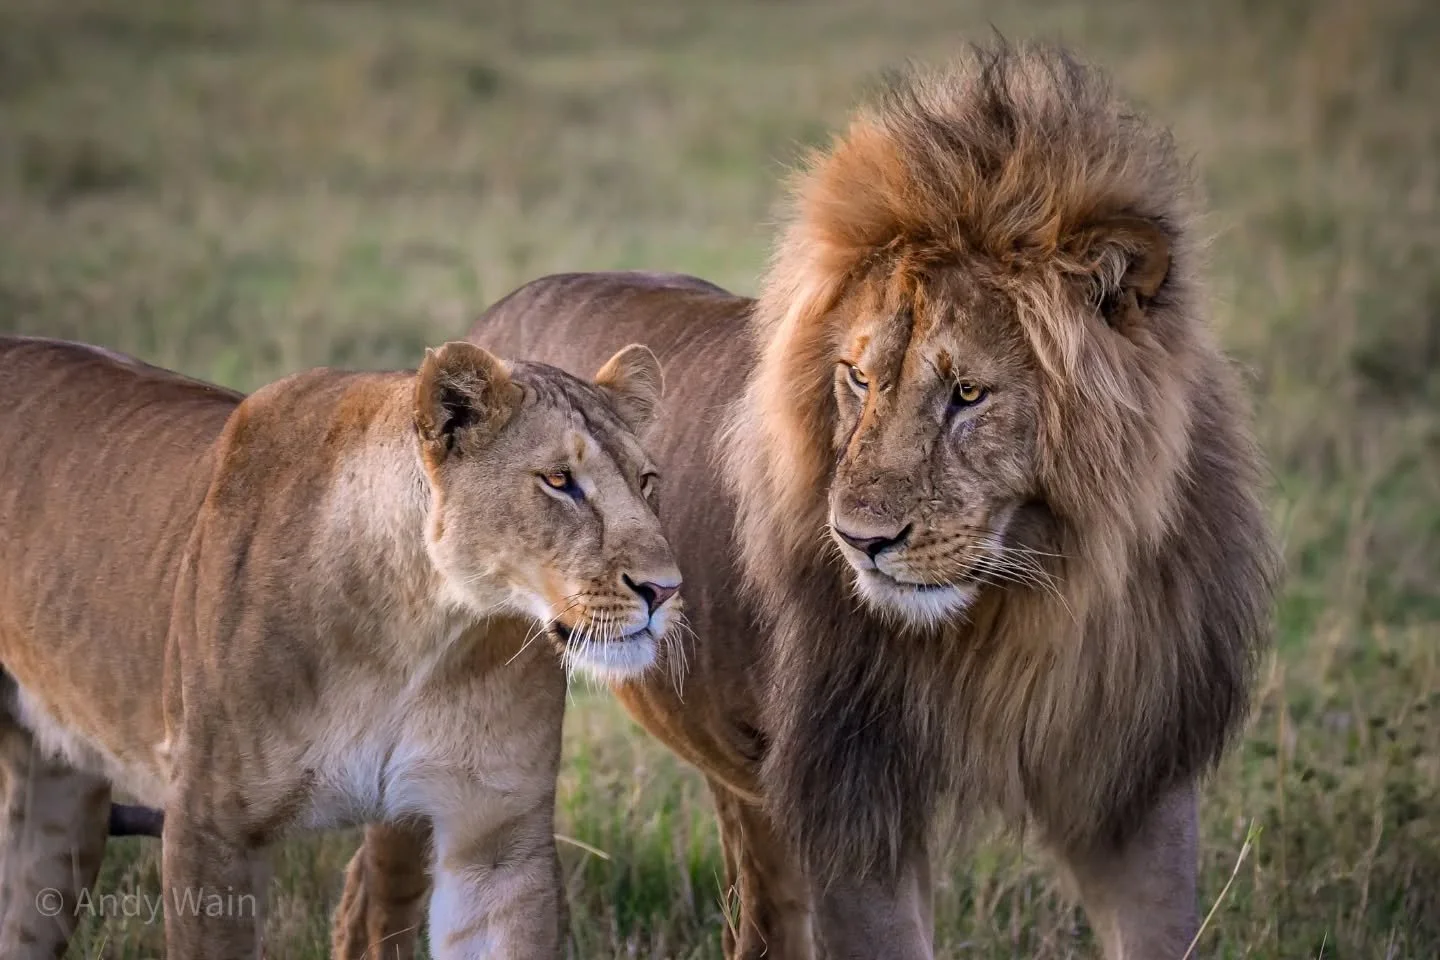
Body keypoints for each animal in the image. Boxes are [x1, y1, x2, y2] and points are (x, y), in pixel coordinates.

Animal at [0, 333, 684, 959]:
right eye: (560, 481)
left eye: (647, 481)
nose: (665, 589)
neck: (417, 635)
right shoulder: (207, 828)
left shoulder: (496, 842)